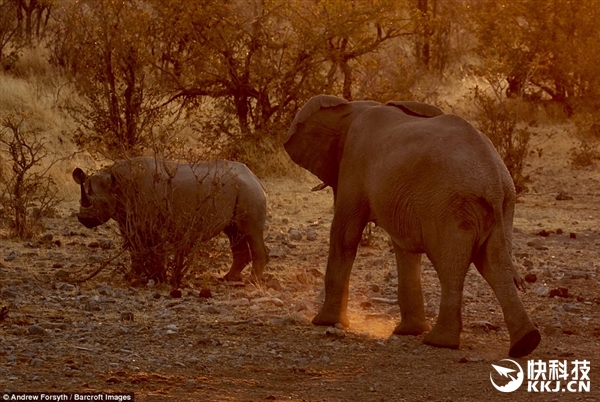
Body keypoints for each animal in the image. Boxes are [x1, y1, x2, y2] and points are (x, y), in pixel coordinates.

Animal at [71, 156, 268, 282]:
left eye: (104, 203)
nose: (85, 219)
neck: (117, 181)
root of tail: (255, 176)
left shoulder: (152, 221)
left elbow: (152, 248)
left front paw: (156, 278)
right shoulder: (125, 219)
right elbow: (133, 248)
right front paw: (131, 277)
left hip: (248, 190)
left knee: (250, 232)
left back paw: (252, 281)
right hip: (241, 190)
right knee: (234, 233)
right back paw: (228, 279)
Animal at [284, 95, 540, 358]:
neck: (355, 106)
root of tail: (495, 183)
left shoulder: (353, 166)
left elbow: (345, 236)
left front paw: (323, 322)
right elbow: (405, 250)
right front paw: (409, 332)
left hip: (451, 205)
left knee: (451, 266)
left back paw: (439, 342)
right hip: (503, 205)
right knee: (494, 265)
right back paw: (525, 343)